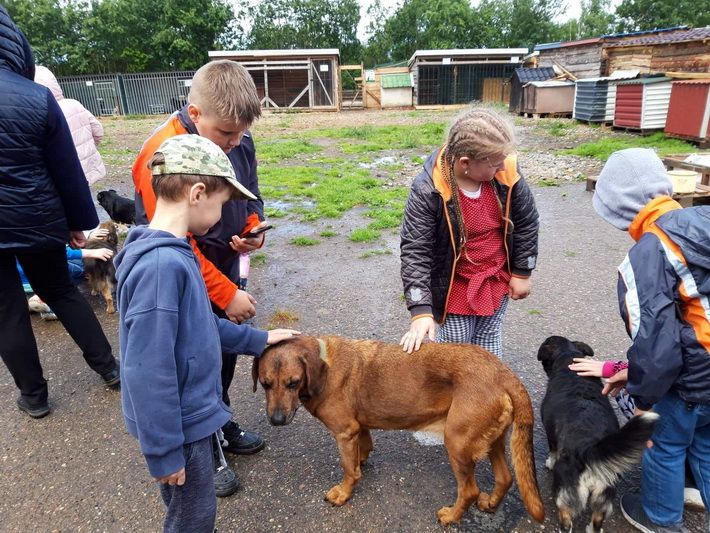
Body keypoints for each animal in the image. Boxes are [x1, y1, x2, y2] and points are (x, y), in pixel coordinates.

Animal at [253, 336, 548, 524]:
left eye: (293, 383)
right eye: (265, 384)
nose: (276, 420)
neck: (324, 363)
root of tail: (505, 374)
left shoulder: (344, 433)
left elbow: (348, 470)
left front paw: (343, 493)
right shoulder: (358, 427)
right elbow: (363, 449)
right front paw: (362, 462)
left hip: (457, 442)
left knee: (469, 491)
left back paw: (450, 517)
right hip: (492, 440)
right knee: (505, 478)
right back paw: (490, 504)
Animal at [544, 336, 660, 532]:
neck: (570, 360)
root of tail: (588, 449)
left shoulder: (550, 432)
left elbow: (552, 450)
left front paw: (549, 463)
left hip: (564, 492)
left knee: (566, 520)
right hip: (604, 493)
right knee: (597, 521)